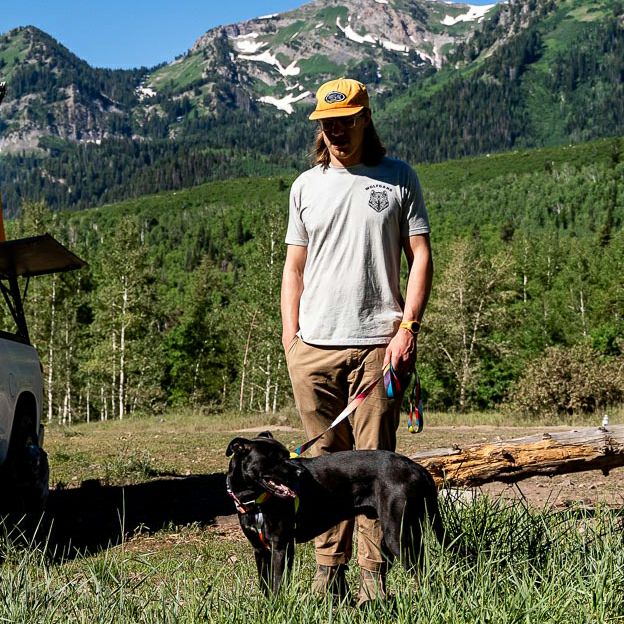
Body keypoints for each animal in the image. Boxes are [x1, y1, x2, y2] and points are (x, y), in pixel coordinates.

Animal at [226, 431, 443, 594]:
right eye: (273, 458)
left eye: (286, 455)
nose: (300, 473)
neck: (254, 501)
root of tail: (417, 467)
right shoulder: (260, 549)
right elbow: (265, 586)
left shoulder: (281, 546)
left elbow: (278, 584)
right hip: (409, 531)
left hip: (397, 535)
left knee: (422, 572)